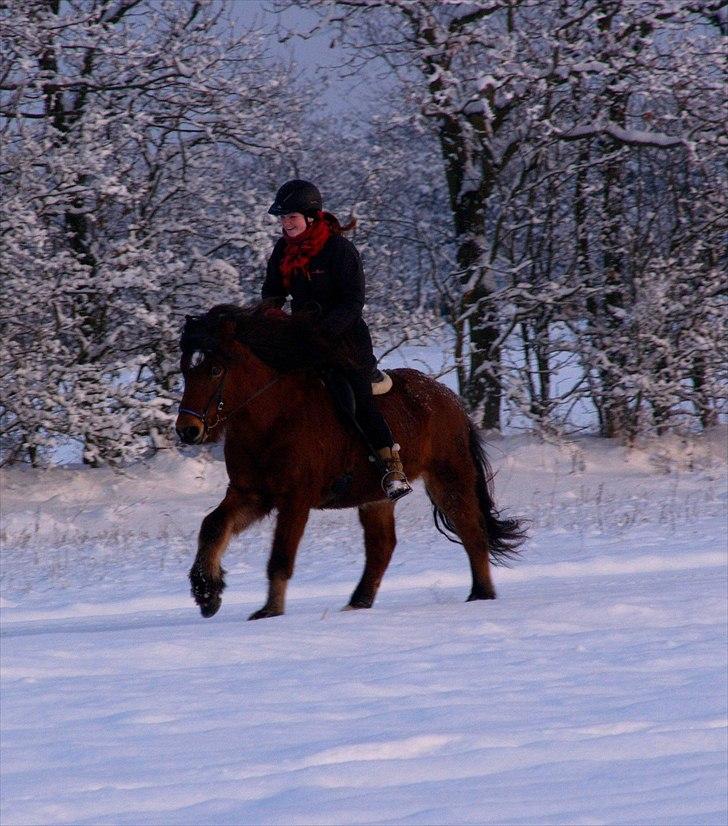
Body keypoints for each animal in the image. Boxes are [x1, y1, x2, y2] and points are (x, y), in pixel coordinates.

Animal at [178, 302, 528, 616]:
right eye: (185, 369)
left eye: (215, 369)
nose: (187, 430)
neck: (272, 417)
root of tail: (451, 400)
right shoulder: (251, 494)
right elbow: (212, 526)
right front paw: (207, 592)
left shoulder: (294, 499)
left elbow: (280, 556)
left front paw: (269, 611)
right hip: (376, 497)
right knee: (382, 547)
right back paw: (357, 603)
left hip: (449, 477)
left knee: (472, 532)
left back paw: (481, 594)